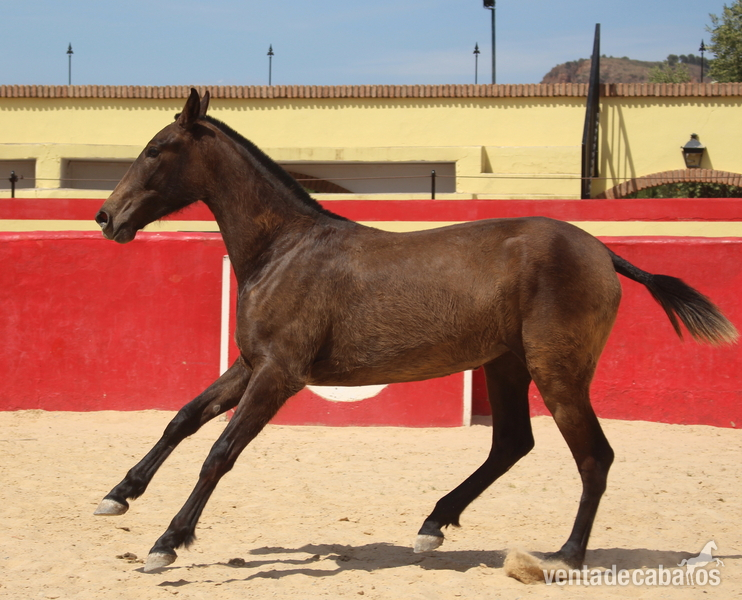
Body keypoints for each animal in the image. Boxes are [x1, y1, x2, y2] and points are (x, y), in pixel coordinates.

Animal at [93, 88, 737, 573]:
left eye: (155, 150)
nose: (105, 217)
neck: (283, 250)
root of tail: (603, 251)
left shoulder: (279, 375)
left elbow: (220, 451)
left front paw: (167, 543)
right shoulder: (251, 365)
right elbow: (183, 418)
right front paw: (118, 496)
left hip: (558, 372)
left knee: (593, 455)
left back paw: (567, 555)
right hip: (505, 364)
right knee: (512, 442)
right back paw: (433, 525)